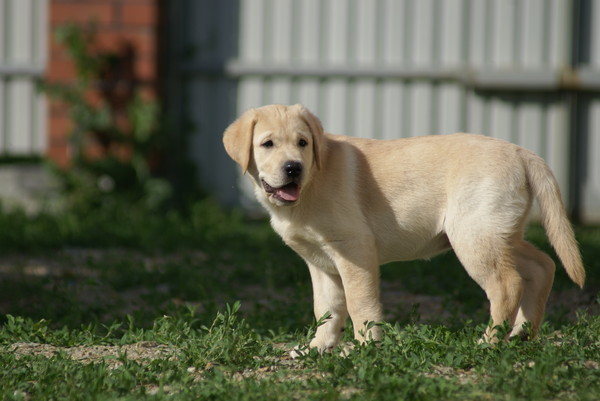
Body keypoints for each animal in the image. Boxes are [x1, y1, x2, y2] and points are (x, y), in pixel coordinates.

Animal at [223, 104, 584, 354]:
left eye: (303, 143)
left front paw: (365, 348)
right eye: (267, 144)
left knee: (507, 284)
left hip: (474, 236)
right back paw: (523, 335)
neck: (312, 182)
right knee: (543, 266)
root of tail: (521, 152)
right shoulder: (320, 262)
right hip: (497, 233)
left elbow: (359, 304)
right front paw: (318, 348)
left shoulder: (354, 250)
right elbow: (327, 309)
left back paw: (489, 342)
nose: (293, 168)